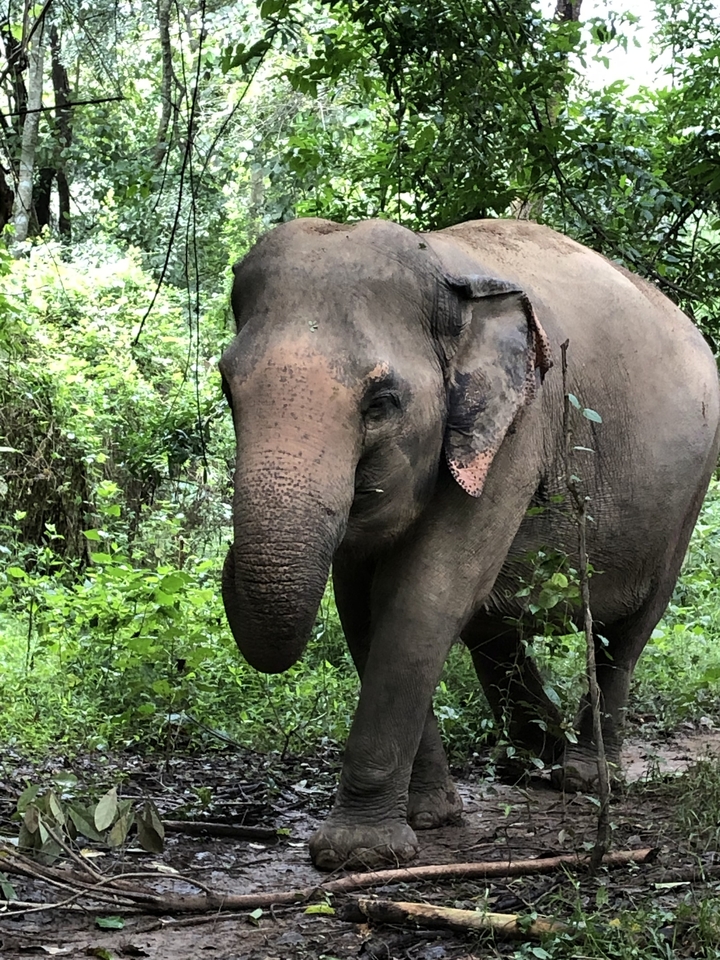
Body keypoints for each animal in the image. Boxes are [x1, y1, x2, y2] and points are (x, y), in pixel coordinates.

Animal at [219, 216, 720, 871]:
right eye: (227, 389)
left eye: (381, 403)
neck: (449, 272)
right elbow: (362, 607)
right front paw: (429, 817)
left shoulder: (519, 429)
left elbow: (424, 595)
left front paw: (357, 854)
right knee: (494, 627)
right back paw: (531, 762)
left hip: (687, 495)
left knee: (627, 632)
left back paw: (584, 777)